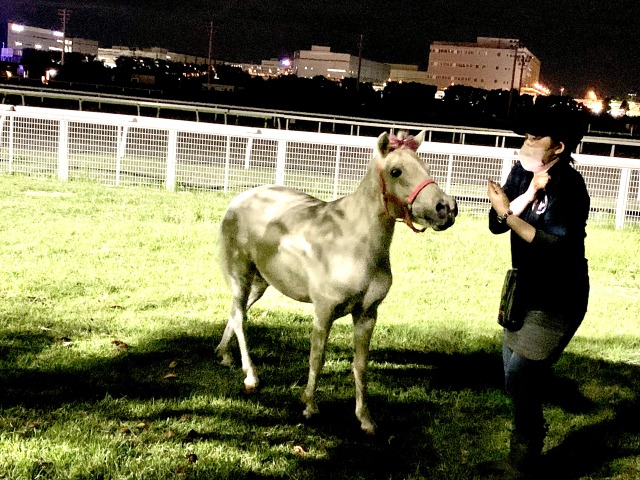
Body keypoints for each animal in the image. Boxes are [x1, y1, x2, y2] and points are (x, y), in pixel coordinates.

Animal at [216, 130, 457, 434]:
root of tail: (239, 199)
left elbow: (360, 365)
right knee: (240, 317)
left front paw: (365, 419)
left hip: (261, 282)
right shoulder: (324, 311)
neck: (353, 243)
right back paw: (251, 377)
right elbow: (317, 357)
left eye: (424, 165)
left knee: (237, 311)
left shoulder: (367, 315)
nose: (446, 208)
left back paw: (223, 354)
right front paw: (309, 405)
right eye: (396, 171)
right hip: (241, 275)